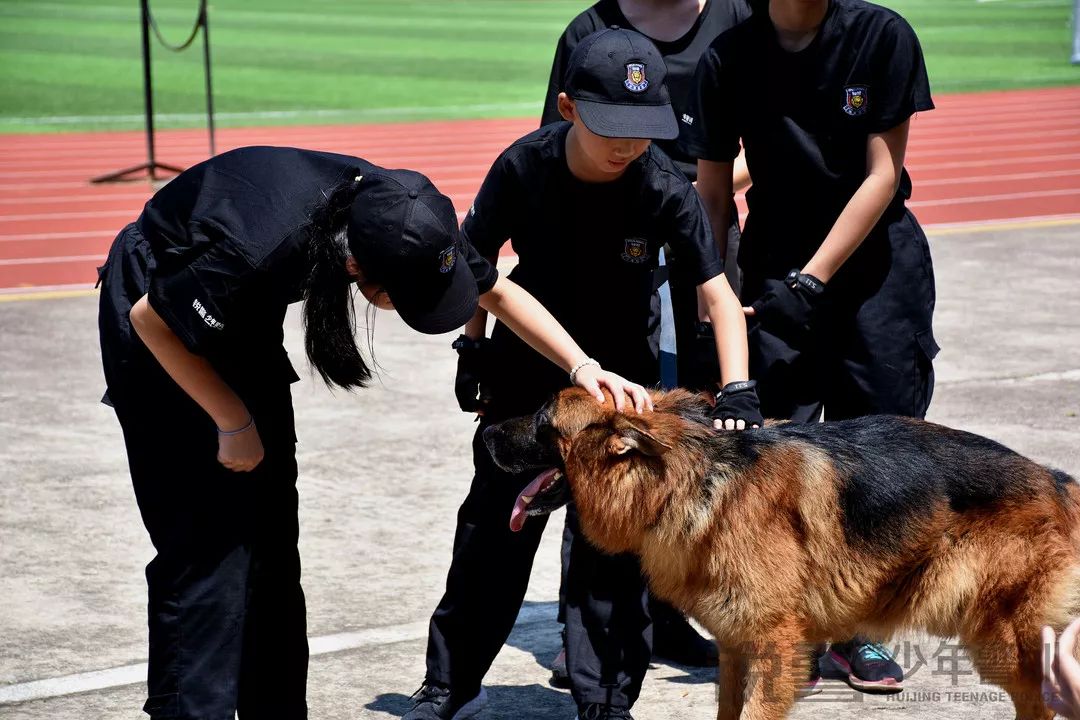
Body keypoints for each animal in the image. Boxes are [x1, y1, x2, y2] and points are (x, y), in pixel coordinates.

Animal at [488, 388, 1080, 720]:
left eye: (543, 420)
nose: (486, 430)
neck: (693, 480)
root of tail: (1055, 479)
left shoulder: (774, 648)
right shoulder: (735, 647)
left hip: (1006, 642)